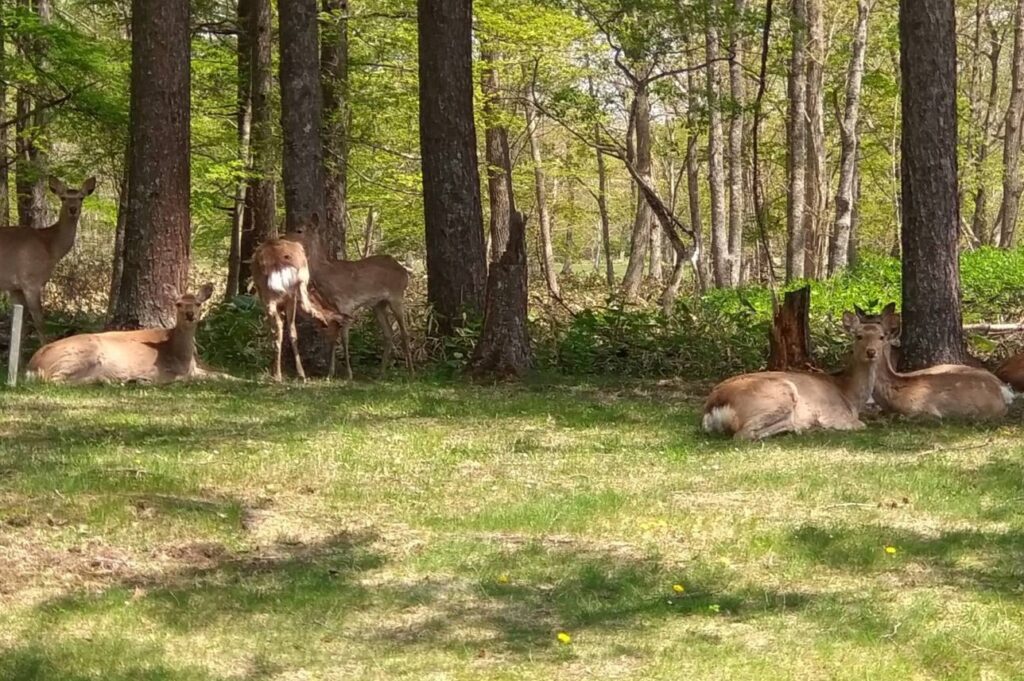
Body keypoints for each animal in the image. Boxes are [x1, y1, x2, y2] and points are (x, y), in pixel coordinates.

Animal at [0, 175, 97, 342]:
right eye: (63, 197)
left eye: (81, 197)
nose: (73, 209)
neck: (50, 247)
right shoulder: (30, 281)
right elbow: (40, 323)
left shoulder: (15, 287)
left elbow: (20, 326)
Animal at [28, 280, 216, 385]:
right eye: (178, 304)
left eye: (198, 303)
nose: (190, 314)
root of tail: (32, 365)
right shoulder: (158, 371)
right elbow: (186, 379)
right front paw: (142, 380)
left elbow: (219, 374)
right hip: (79, 354)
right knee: (53, 380)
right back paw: (109, 380)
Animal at [284, 213, 411, 378]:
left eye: (299, 230)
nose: (283, 239)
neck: (326, 273)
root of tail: (405, 273)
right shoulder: (334, 308)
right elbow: (333, 338)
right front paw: (330, 374)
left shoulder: (346, 304)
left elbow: (344, 338)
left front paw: (349, 374)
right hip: (379, 304)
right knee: (388, 334)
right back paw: (381, 373)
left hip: (397, 295)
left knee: (404, 332)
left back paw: (411, 371)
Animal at [700, 309, 884, 438]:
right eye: (859, 336)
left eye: (882, 336)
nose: (871, 352)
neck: (849, 394)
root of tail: (711, 409)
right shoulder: (833, 414)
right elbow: (860, 424)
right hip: (778, 395)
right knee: (743, 434)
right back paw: (801, 427)